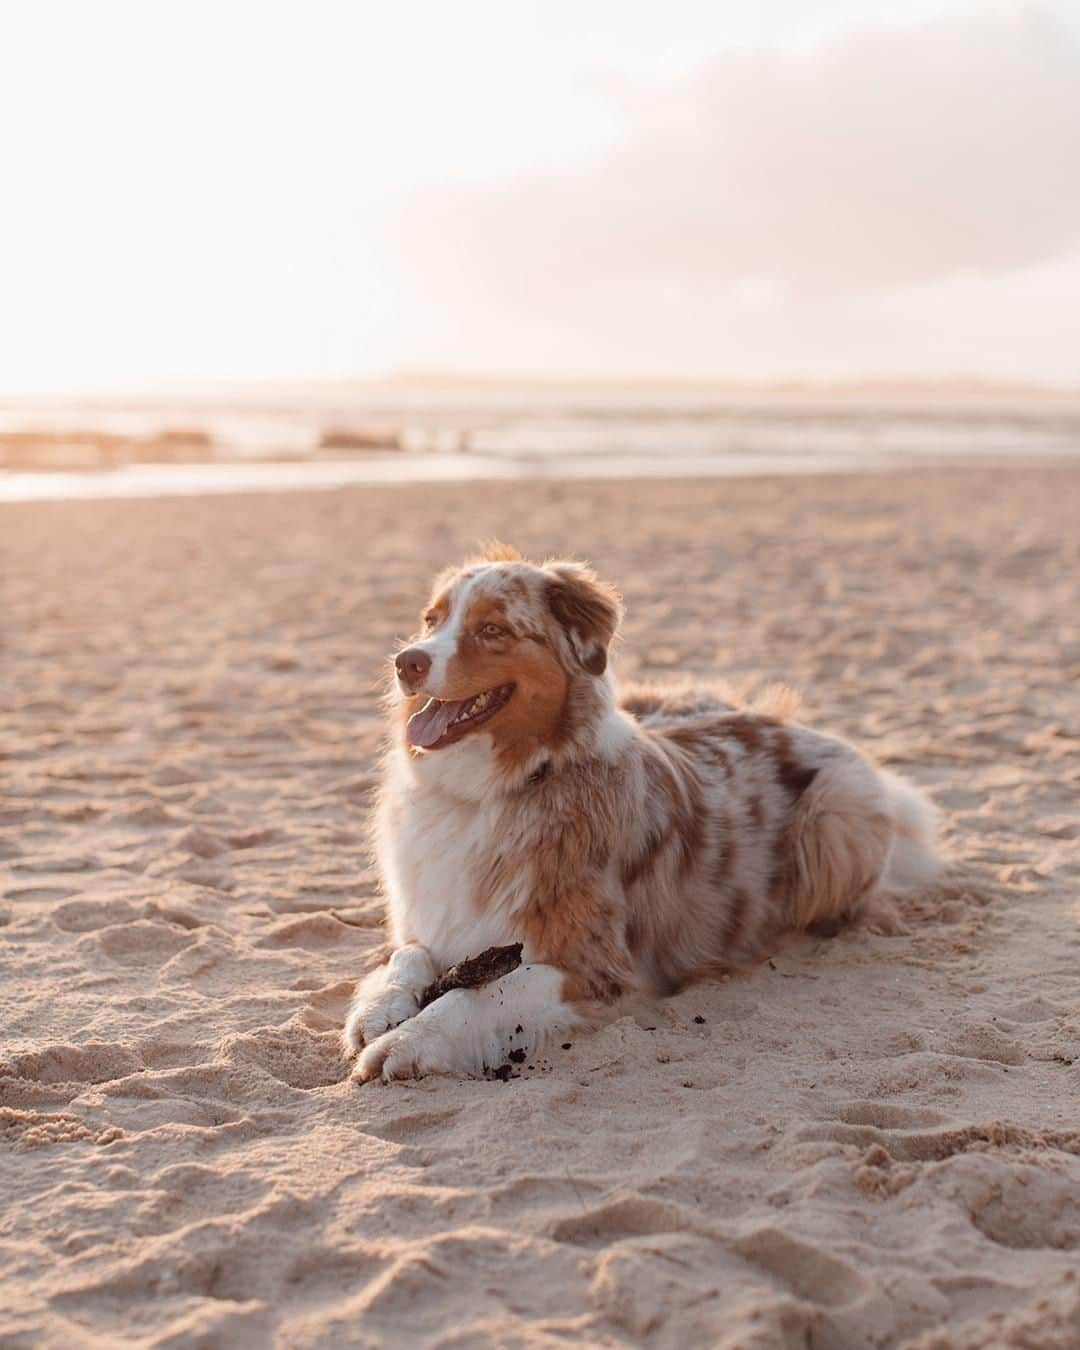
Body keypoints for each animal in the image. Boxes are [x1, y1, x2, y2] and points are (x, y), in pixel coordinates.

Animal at [341, 542, 939, 1080]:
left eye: (492, 629)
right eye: (431, 620)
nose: (406, 661)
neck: (487, 791)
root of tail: (787, 722)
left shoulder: (599, 970)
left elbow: (480, 996)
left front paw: (409, 1042)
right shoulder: (431, 922)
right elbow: (404, 958)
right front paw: (380, 1009)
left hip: (835, 816)